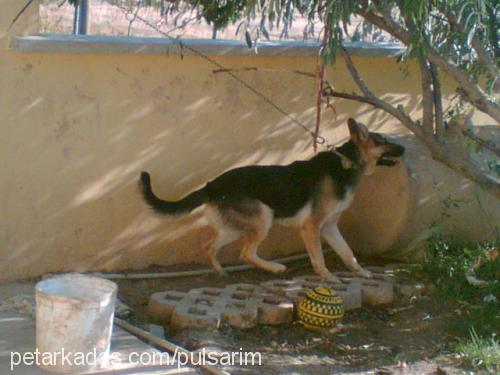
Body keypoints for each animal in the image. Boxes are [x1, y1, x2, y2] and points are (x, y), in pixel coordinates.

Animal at [139, 118, 404, 282]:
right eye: (384, 141)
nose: (404, 148)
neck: (348, 163)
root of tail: (211, 185)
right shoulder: (311, 227)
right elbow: (318, 257)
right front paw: (328, 277)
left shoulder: (329, 227)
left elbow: (348, 252)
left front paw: (361, 272)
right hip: (263, 217)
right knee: (246, 254)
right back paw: (275, 267)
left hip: (234, 228)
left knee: (209, 247)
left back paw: (221, 272)